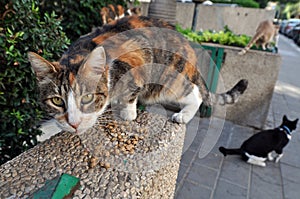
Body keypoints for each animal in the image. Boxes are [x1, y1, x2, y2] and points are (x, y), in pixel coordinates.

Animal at [28, 15, 248, 134]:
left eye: (88, 97)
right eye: (57, 100)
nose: (74, 123)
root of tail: (188, 44)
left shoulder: (136, 60)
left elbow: (129, 95)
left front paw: (128, 113)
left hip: (168, 80)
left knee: (195, 94)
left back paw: (183, 115)